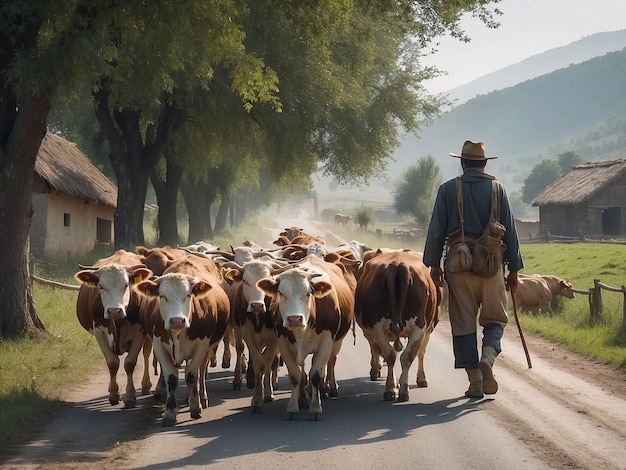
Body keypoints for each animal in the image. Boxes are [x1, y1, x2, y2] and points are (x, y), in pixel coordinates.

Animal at [74, 250, 152, 408]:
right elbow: (112, 363)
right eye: (101, 286)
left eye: (127, 285)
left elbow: (130, 363)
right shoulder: (99, 331)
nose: (114, 311)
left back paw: (146, 385)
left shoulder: (140, 331)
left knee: (146, 355)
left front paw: (130, 396)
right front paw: (114, 394)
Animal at [135, 255, 228, 428]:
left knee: (200, 372)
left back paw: (201, 396)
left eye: (188, 295)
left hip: (207, 349)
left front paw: (196, 407)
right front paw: (170, 414)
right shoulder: (159, 345)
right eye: (162, 296)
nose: (177, 320)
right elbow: (171, 379)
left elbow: (192, 374)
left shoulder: (202, 344)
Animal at [258, 255, 354, 420]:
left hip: (337, 343)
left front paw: (316, 408)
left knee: (330, 363)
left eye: (308, 293)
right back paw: (302, 398)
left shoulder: (326, 342)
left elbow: (316, 374)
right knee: (303, 372)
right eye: (280, 293)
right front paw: (293, 407)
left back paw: (329, 389)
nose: (294, 319)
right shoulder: (283, 342)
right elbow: (295, 376)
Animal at [354, 250, 442, 400]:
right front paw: (394, 385)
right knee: (397, 355)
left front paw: (400, 384)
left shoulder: (424, 330)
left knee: (399, 355)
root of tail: (399, 265)